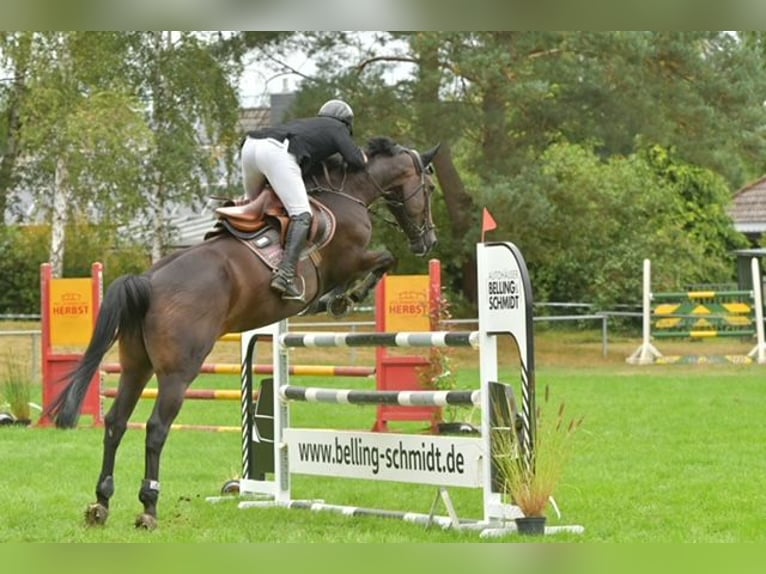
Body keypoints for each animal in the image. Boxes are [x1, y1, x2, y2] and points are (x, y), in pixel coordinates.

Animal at [47, 136, 440, 530]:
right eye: (431, 188)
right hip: (178, 373)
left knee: (116, 422)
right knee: (156, 428)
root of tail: (148, 281)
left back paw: (101, 503)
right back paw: (149, 507)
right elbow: (385, 259)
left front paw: (338, 299)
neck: (348, 194)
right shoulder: (350, 258)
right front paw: (345, 298)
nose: (429, 242)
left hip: (135, 365)